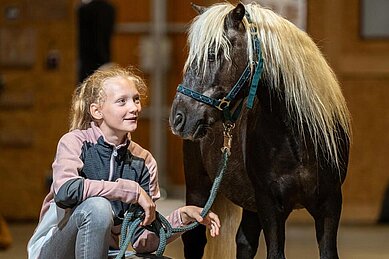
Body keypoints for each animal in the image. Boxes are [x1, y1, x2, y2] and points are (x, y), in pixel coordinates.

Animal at [168, 2, 350, 259]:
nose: (179, 118)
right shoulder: (270, 206)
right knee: (193, 239)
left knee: (244, 242)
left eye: (212, 54)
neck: (298, 140)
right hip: (198, 188)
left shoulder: (330, 204)